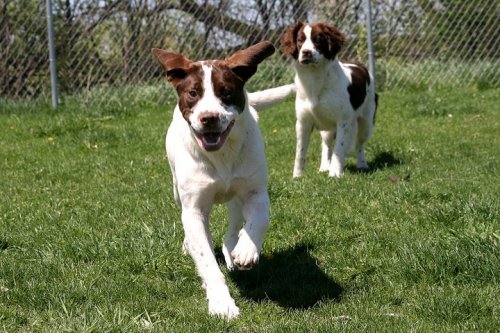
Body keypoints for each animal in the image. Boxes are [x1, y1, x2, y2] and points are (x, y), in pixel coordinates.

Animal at [152, 41, 292, 320]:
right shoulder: (193, 208)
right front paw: (221, 303)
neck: (222, 155)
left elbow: (260, 219)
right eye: (193, 93)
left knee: (234, 224)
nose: (209, 118)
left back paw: (233, 248)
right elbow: (206, 259)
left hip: (235, 196)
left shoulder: (256, 192)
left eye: (226, 92)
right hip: (177, 191)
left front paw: (247, 249)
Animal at [282, 21, 376, 178]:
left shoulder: (343, 121)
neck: (314, 79)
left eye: (318, 40)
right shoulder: (303, 122)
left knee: (359, 144)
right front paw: (297, 176)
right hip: (327, 128)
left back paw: (362, 164)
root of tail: (361, 66)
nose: (306, 52)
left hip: (366, 122)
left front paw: (335, 173)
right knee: (326, 144)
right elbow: (300, 151)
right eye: (300, 40)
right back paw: (324, 166)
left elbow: (340, 148)